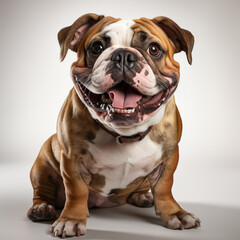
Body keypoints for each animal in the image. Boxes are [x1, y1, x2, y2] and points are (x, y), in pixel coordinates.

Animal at [27, 13, 200, 238]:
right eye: (97, 47)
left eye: (154, 49)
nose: (124, 56)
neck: (125, 134)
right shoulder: (72, 159)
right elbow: (76, 190)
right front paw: (71, 219)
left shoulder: (169, 158)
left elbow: (164, 188)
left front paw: (175, 213)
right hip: (43, 164)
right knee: (41, 192)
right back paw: (41, 209)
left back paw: (142, 196)